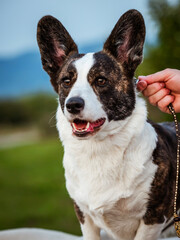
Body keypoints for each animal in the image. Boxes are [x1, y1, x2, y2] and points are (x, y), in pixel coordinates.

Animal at [37, 9, 179, 240]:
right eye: (66, 82)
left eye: (101, 81)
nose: (72, 104)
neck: (98, 149)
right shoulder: (84, 216)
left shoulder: (153, 219)